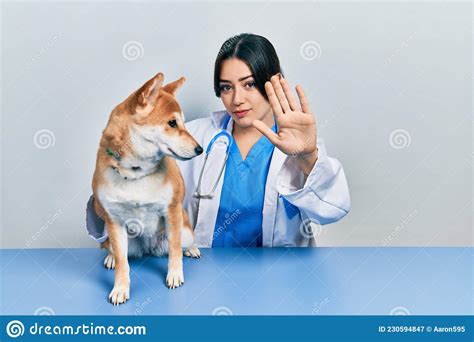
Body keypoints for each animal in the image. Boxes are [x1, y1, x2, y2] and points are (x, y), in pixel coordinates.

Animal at [91, 71, 203, 304]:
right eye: (172, 123)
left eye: (184, 123)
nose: (200, 149)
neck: (136, 172)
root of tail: (149, 248)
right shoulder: (114, 220)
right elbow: (123, 263)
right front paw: (120, 288)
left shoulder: (172, 210)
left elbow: (175, 251)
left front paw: (175, 275)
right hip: (113, 236)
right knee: (113, 250)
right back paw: (110, 257)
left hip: (184, 229)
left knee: (182, 244)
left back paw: (192, 249)